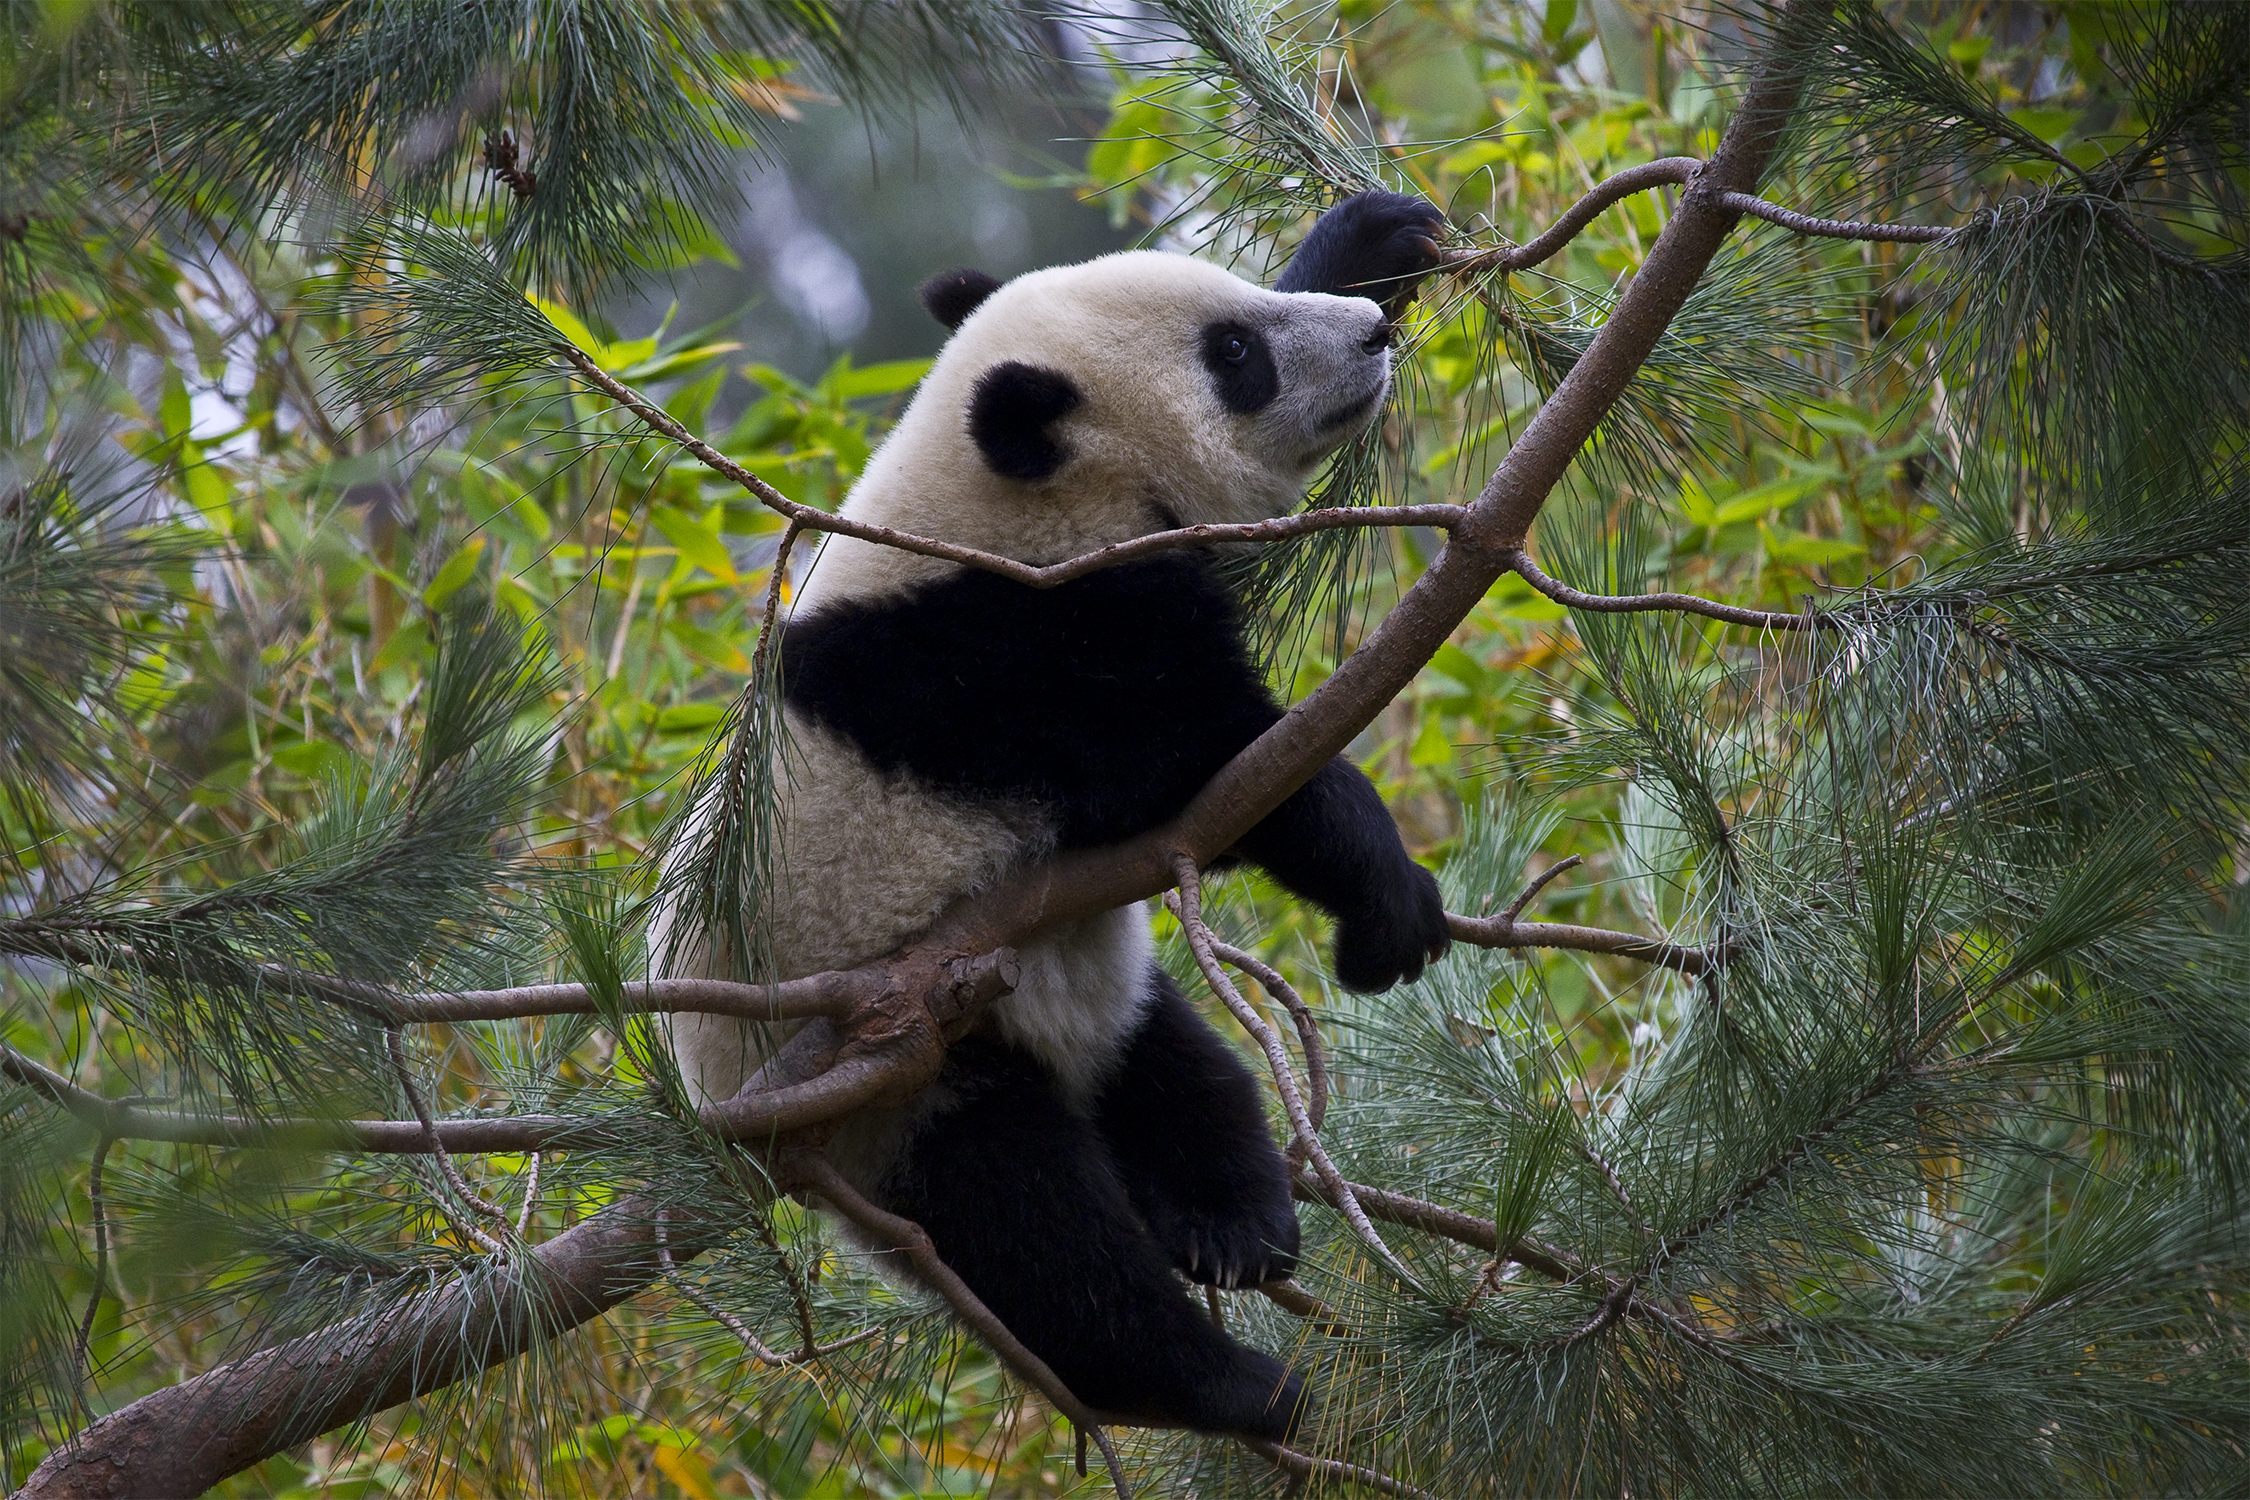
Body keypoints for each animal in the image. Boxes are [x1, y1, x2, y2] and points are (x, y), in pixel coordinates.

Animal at [657, 191, 1449, 1439]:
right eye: (1235, 356)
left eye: (1241, 305)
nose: (1369, 337)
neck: (989, 508)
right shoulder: (1009, 659)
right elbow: (1215, 773)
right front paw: (1389, 912)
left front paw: (1379, 241)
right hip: (899, 1070)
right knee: (1037, 1230)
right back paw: (1228, 1381)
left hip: (1088, 996)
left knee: (1181, 1074)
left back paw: (1232, 1224)